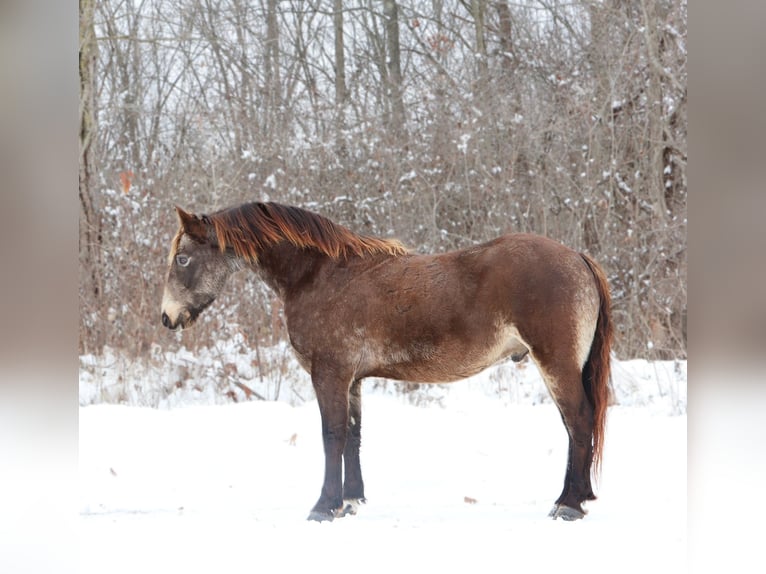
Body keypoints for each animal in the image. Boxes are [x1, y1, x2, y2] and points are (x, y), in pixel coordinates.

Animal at [160, 201, 613, 522]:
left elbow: (332, 435)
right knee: (574, 425)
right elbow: (353, 436)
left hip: (555, 364)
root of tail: (577, 257)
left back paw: (569, 504)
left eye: (182, 258)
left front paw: (324, 506)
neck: (320, 275)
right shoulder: (352, 379)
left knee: (578, 420)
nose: (167, 317)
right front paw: (350, 501)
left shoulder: (330, 374)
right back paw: (576, 496)